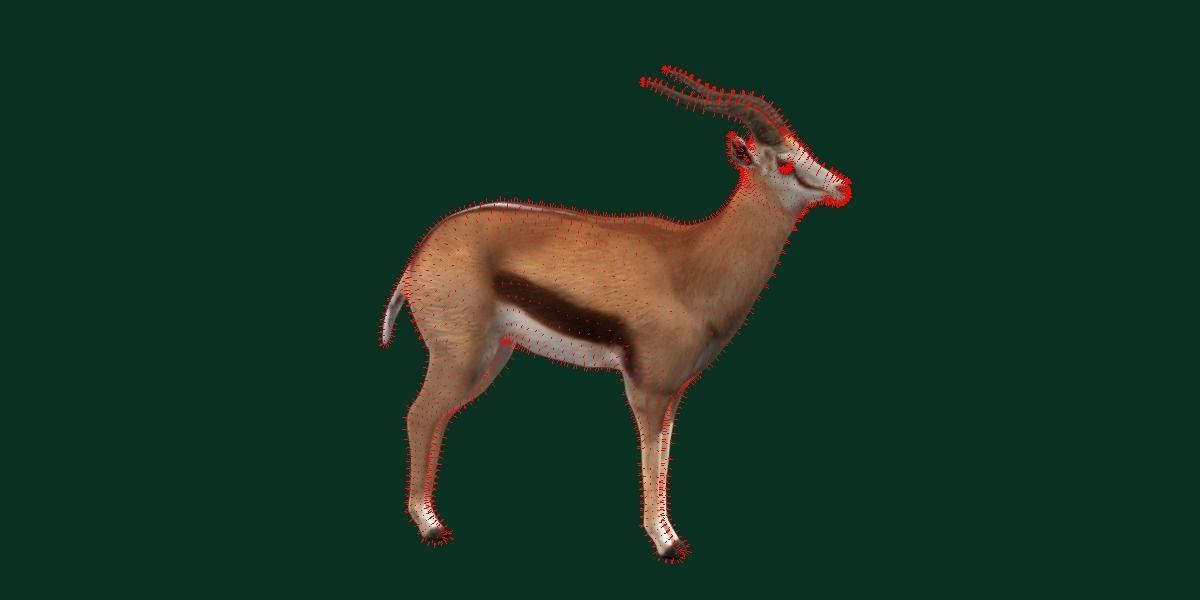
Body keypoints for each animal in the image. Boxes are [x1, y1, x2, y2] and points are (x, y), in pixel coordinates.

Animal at [380, 66, 851, 562]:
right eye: (784, 162)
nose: (843, 186)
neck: (691, 264)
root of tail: (419, 257)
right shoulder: (646, 386)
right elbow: (651, 454)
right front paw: (665, 543)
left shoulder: (672, 390)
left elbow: (664, 452)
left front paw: (672, 537)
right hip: (459, 357)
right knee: (419, 415)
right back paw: (430, 527)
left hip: (491, 356)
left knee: (436, 418)